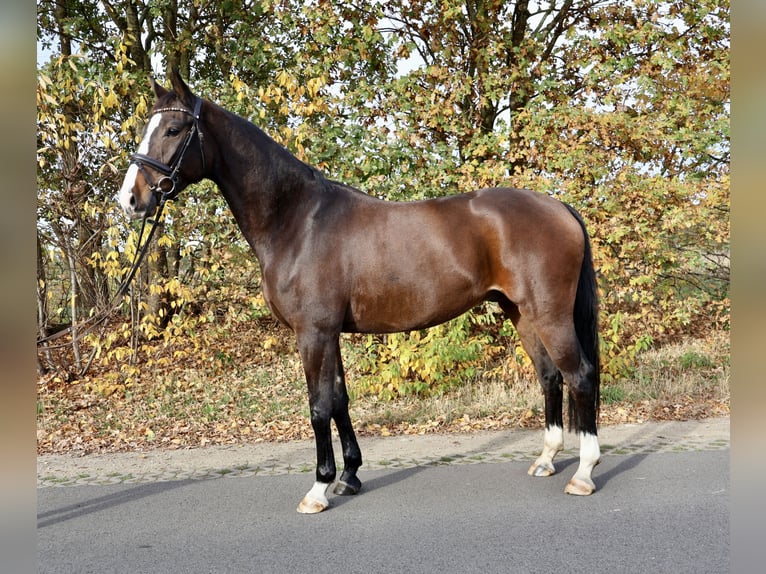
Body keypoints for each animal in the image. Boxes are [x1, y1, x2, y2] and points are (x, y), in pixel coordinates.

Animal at [119, 69, 601, 514]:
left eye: (174, 129)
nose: (130, 199)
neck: (297, 220)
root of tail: (558, 206)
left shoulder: (313, 333)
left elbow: (318, 406)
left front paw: (318, 488)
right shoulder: (329, 333)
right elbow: (339, 401)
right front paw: (349, 476)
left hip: (549, 314)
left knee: (580, 375)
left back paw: (583, 473)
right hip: (520, 311)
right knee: (550, 376)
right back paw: (546, 459)